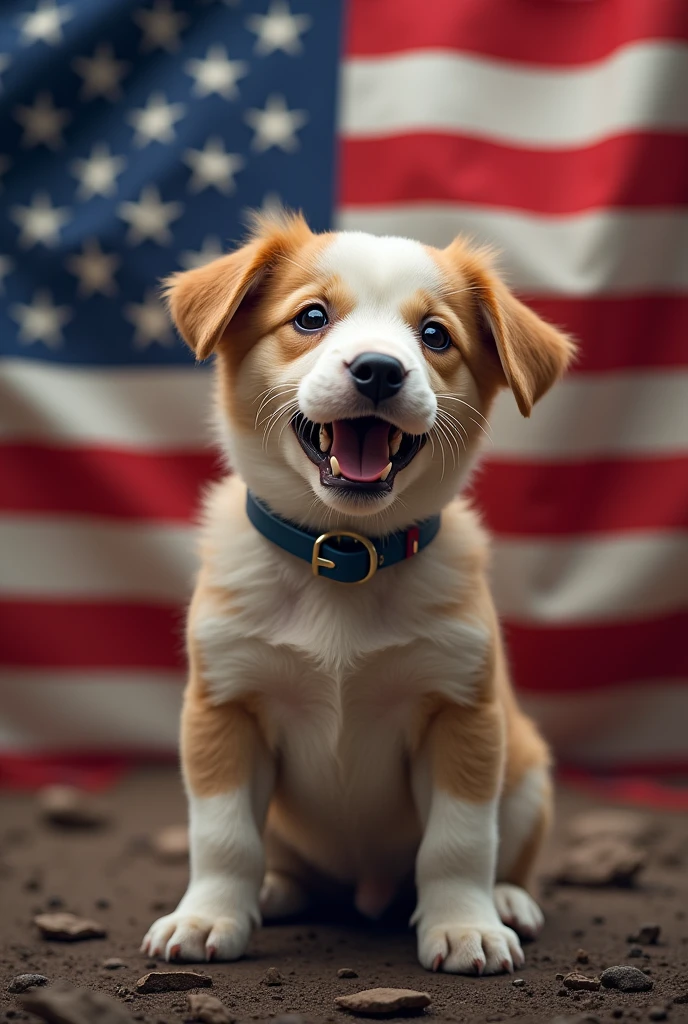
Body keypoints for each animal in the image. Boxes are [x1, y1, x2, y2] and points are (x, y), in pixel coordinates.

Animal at [139, 209, 573, 974]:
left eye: (435, 335)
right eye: (311, 316)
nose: (378, 370)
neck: (346, 555)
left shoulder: (463, 714)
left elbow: (460, 842)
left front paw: (465, 925)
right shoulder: (224, 707)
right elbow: (223, 837)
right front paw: (208, 915)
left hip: (524, 770)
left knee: (506, 854)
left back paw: (509, 900)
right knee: (286, 861)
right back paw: (279, 890)